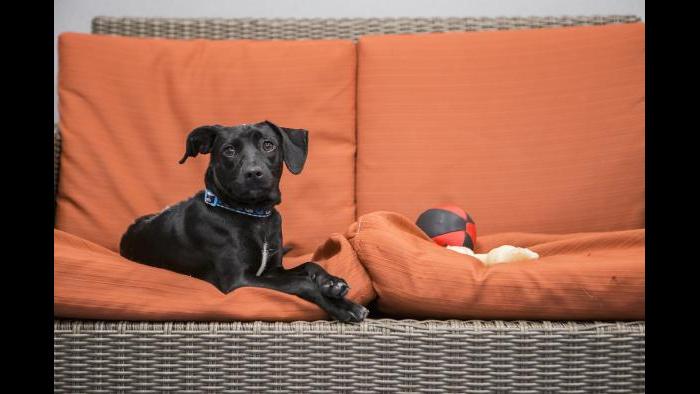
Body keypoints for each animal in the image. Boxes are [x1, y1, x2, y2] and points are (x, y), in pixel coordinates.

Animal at [120, 121, 370, 322]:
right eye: (229, 150)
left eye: (268, 145)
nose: (253, 173)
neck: (254, 216)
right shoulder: (239, 280)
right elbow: (302, 282)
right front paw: (345, 308)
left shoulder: (272, 271)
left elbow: (310, 265)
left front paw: (332, 283)